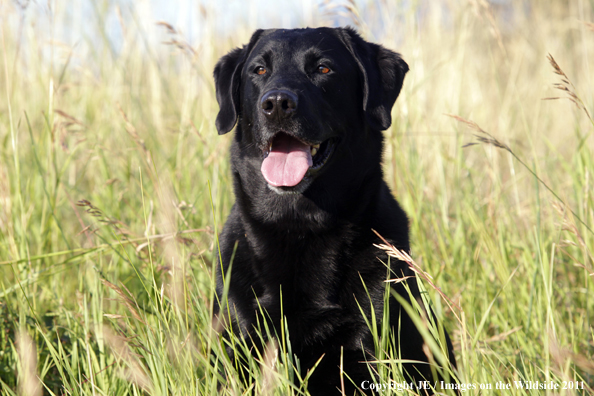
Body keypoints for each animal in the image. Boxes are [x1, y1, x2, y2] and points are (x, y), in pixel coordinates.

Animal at [212, 26, 454, 394]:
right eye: (259, 70)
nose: (277, 103)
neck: (300, 224)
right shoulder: (241, 344)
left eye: (323, 68)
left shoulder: (369, 346)